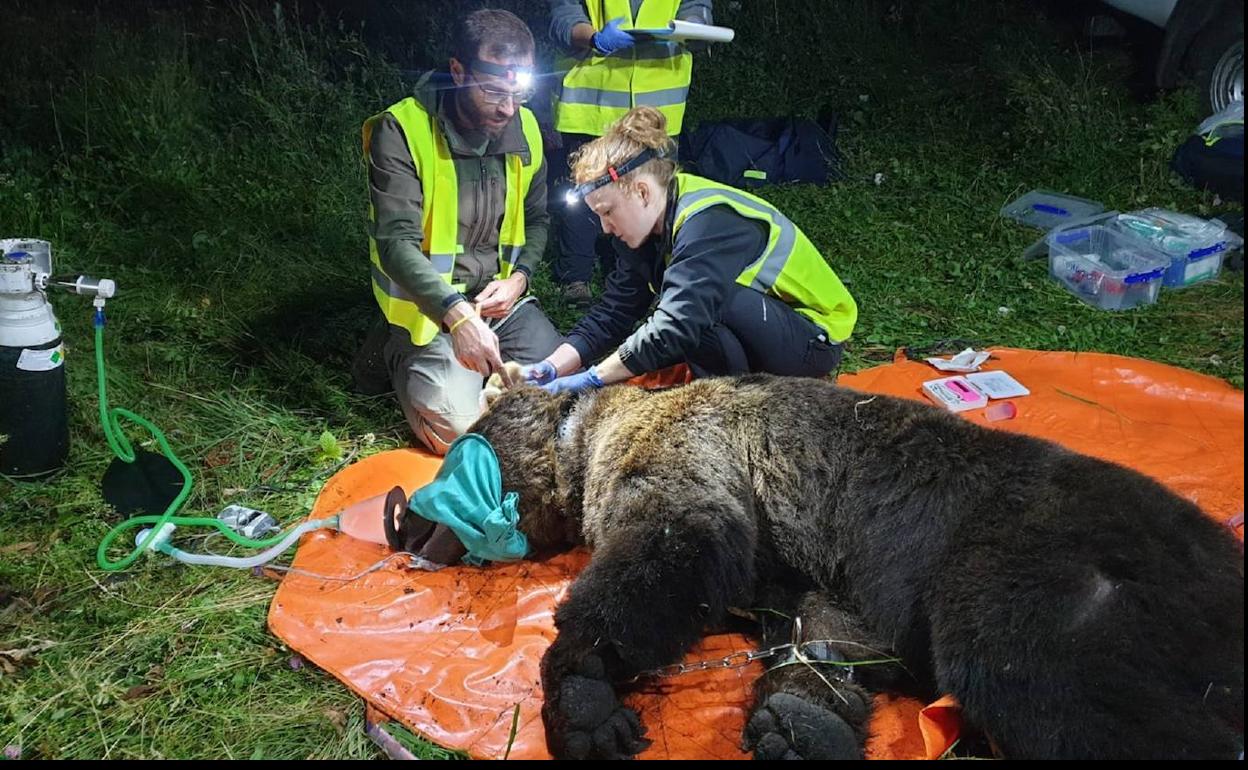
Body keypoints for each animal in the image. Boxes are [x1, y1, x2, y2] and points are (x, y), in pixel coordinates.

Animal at [464, 371, 1243, 758]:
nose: (432, 527)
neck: (585, 438)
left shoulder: (684, 452)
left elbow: (669, 549)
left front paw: (585, 690)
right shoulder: (825, 576)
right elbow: (829, 632)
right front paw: (800, 724)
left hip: (1041, 585)